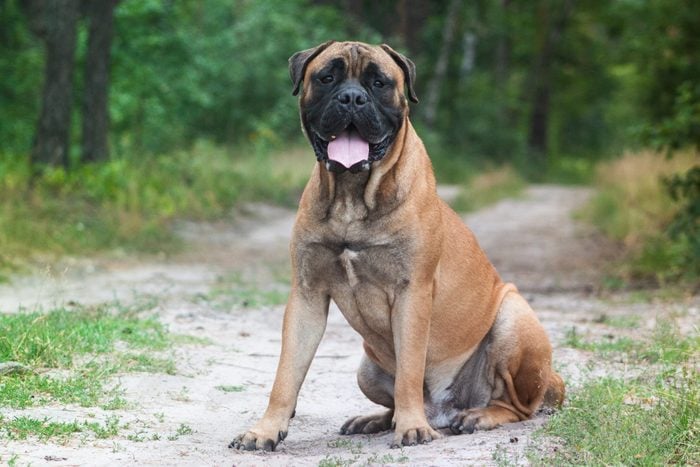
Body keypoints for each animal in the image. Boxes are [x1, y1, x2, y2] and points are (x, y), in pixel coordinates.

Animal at [232, 41, 568, 454]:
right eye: (327, 77)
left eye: (379, 83)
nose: (351, 97)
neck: (351, 197)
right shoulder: (307, 294)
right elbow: (285, 375)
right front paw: (264, 430)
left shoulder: (412, 293)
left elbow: (410, 368)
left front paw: (412, 428)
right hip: (366, 366)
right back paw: (374, 420)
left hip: (513, 317)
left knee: (518, 406)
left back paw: (477, 416)